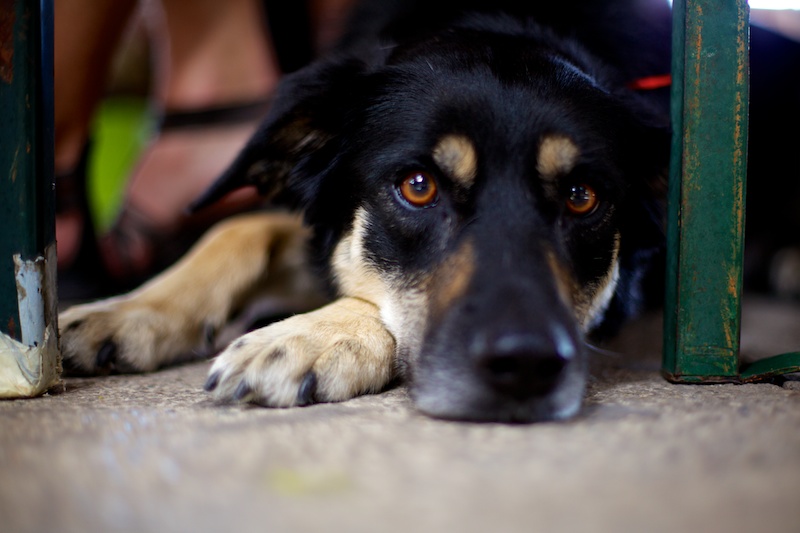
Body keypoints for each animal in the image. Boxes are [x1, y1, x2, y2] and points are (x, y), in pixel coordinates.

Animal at [59, 0, 680, 422]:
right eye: (418, 186)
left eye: (582, 196)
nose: (525, 363)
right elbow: (240, 227)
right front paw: (130, 310)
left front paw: (312, 335)